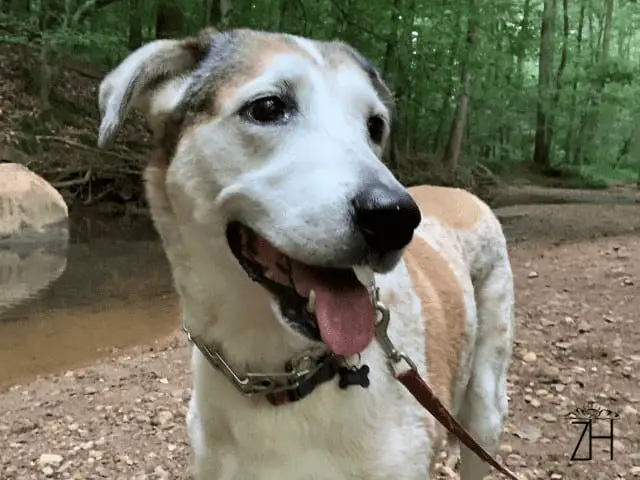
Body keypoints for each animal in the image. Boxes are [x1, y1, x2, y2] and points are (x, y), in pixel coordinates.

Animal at [96, 27, 516, 480]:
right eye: (267, 107)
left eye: (374, 125)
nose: (395, 217)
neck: (281, 374)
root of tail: (459, 192)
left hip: (486, 405)